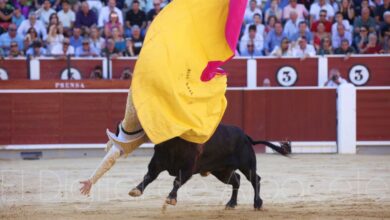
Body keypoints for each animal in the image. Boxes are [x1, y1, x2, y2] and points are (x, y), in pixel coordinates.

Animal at [128, 124, 290, 209]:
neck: (172, 144)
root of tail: (245, 136)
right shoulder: (156, 164)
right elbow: (148, 177)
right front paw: (136, 190)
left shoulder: (187, 169)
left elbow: (177, 181)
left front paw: (171, 198)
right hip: (222, 171)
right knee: (236, 180)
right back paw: (231, 203)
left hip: (247, 165)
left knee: (255, 179)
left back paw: (257, 203)